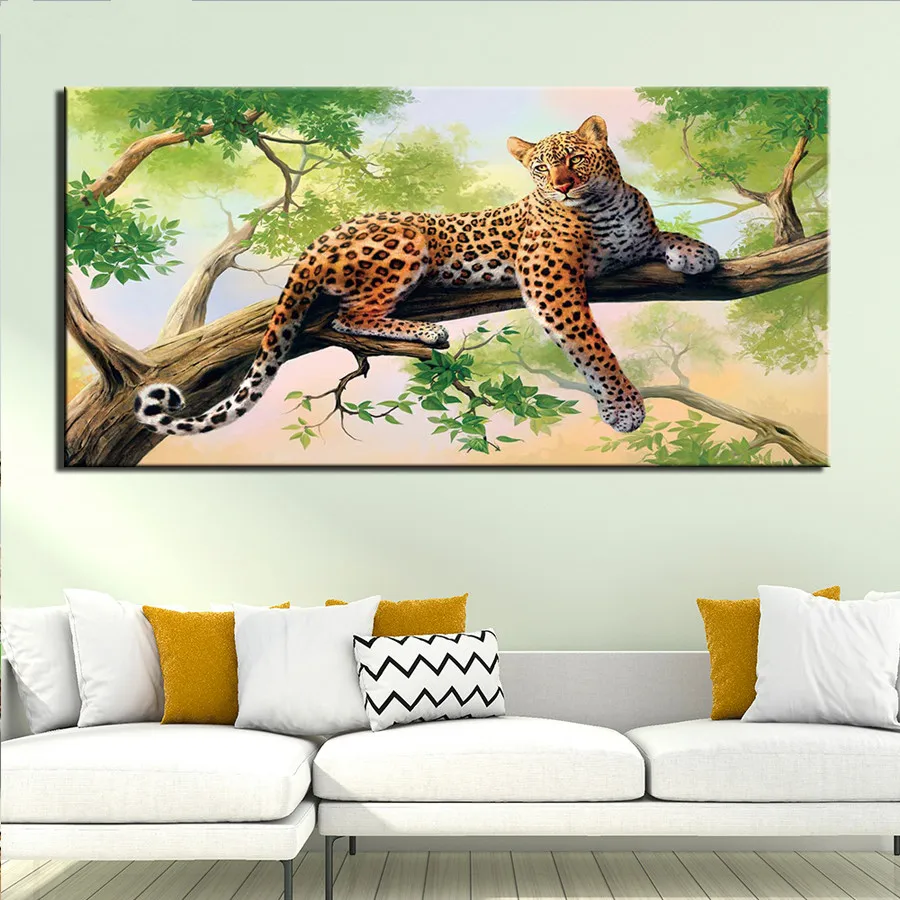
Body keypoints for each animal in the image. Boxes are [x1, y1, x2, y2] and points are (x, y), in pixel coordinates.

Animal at [135, 115, 719, 438]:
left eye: (575, 159)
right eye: (540, 168)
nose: (562, 186)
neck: (603, 205)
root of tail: (317, 239)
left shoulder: (633, 239)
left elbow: (660, 234)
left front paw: (698, 252)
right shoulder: (549, 280)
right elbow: (591, 345)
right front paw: (623, 408)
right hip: (407, 240)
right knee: (350, 316)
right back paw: (425, 330)